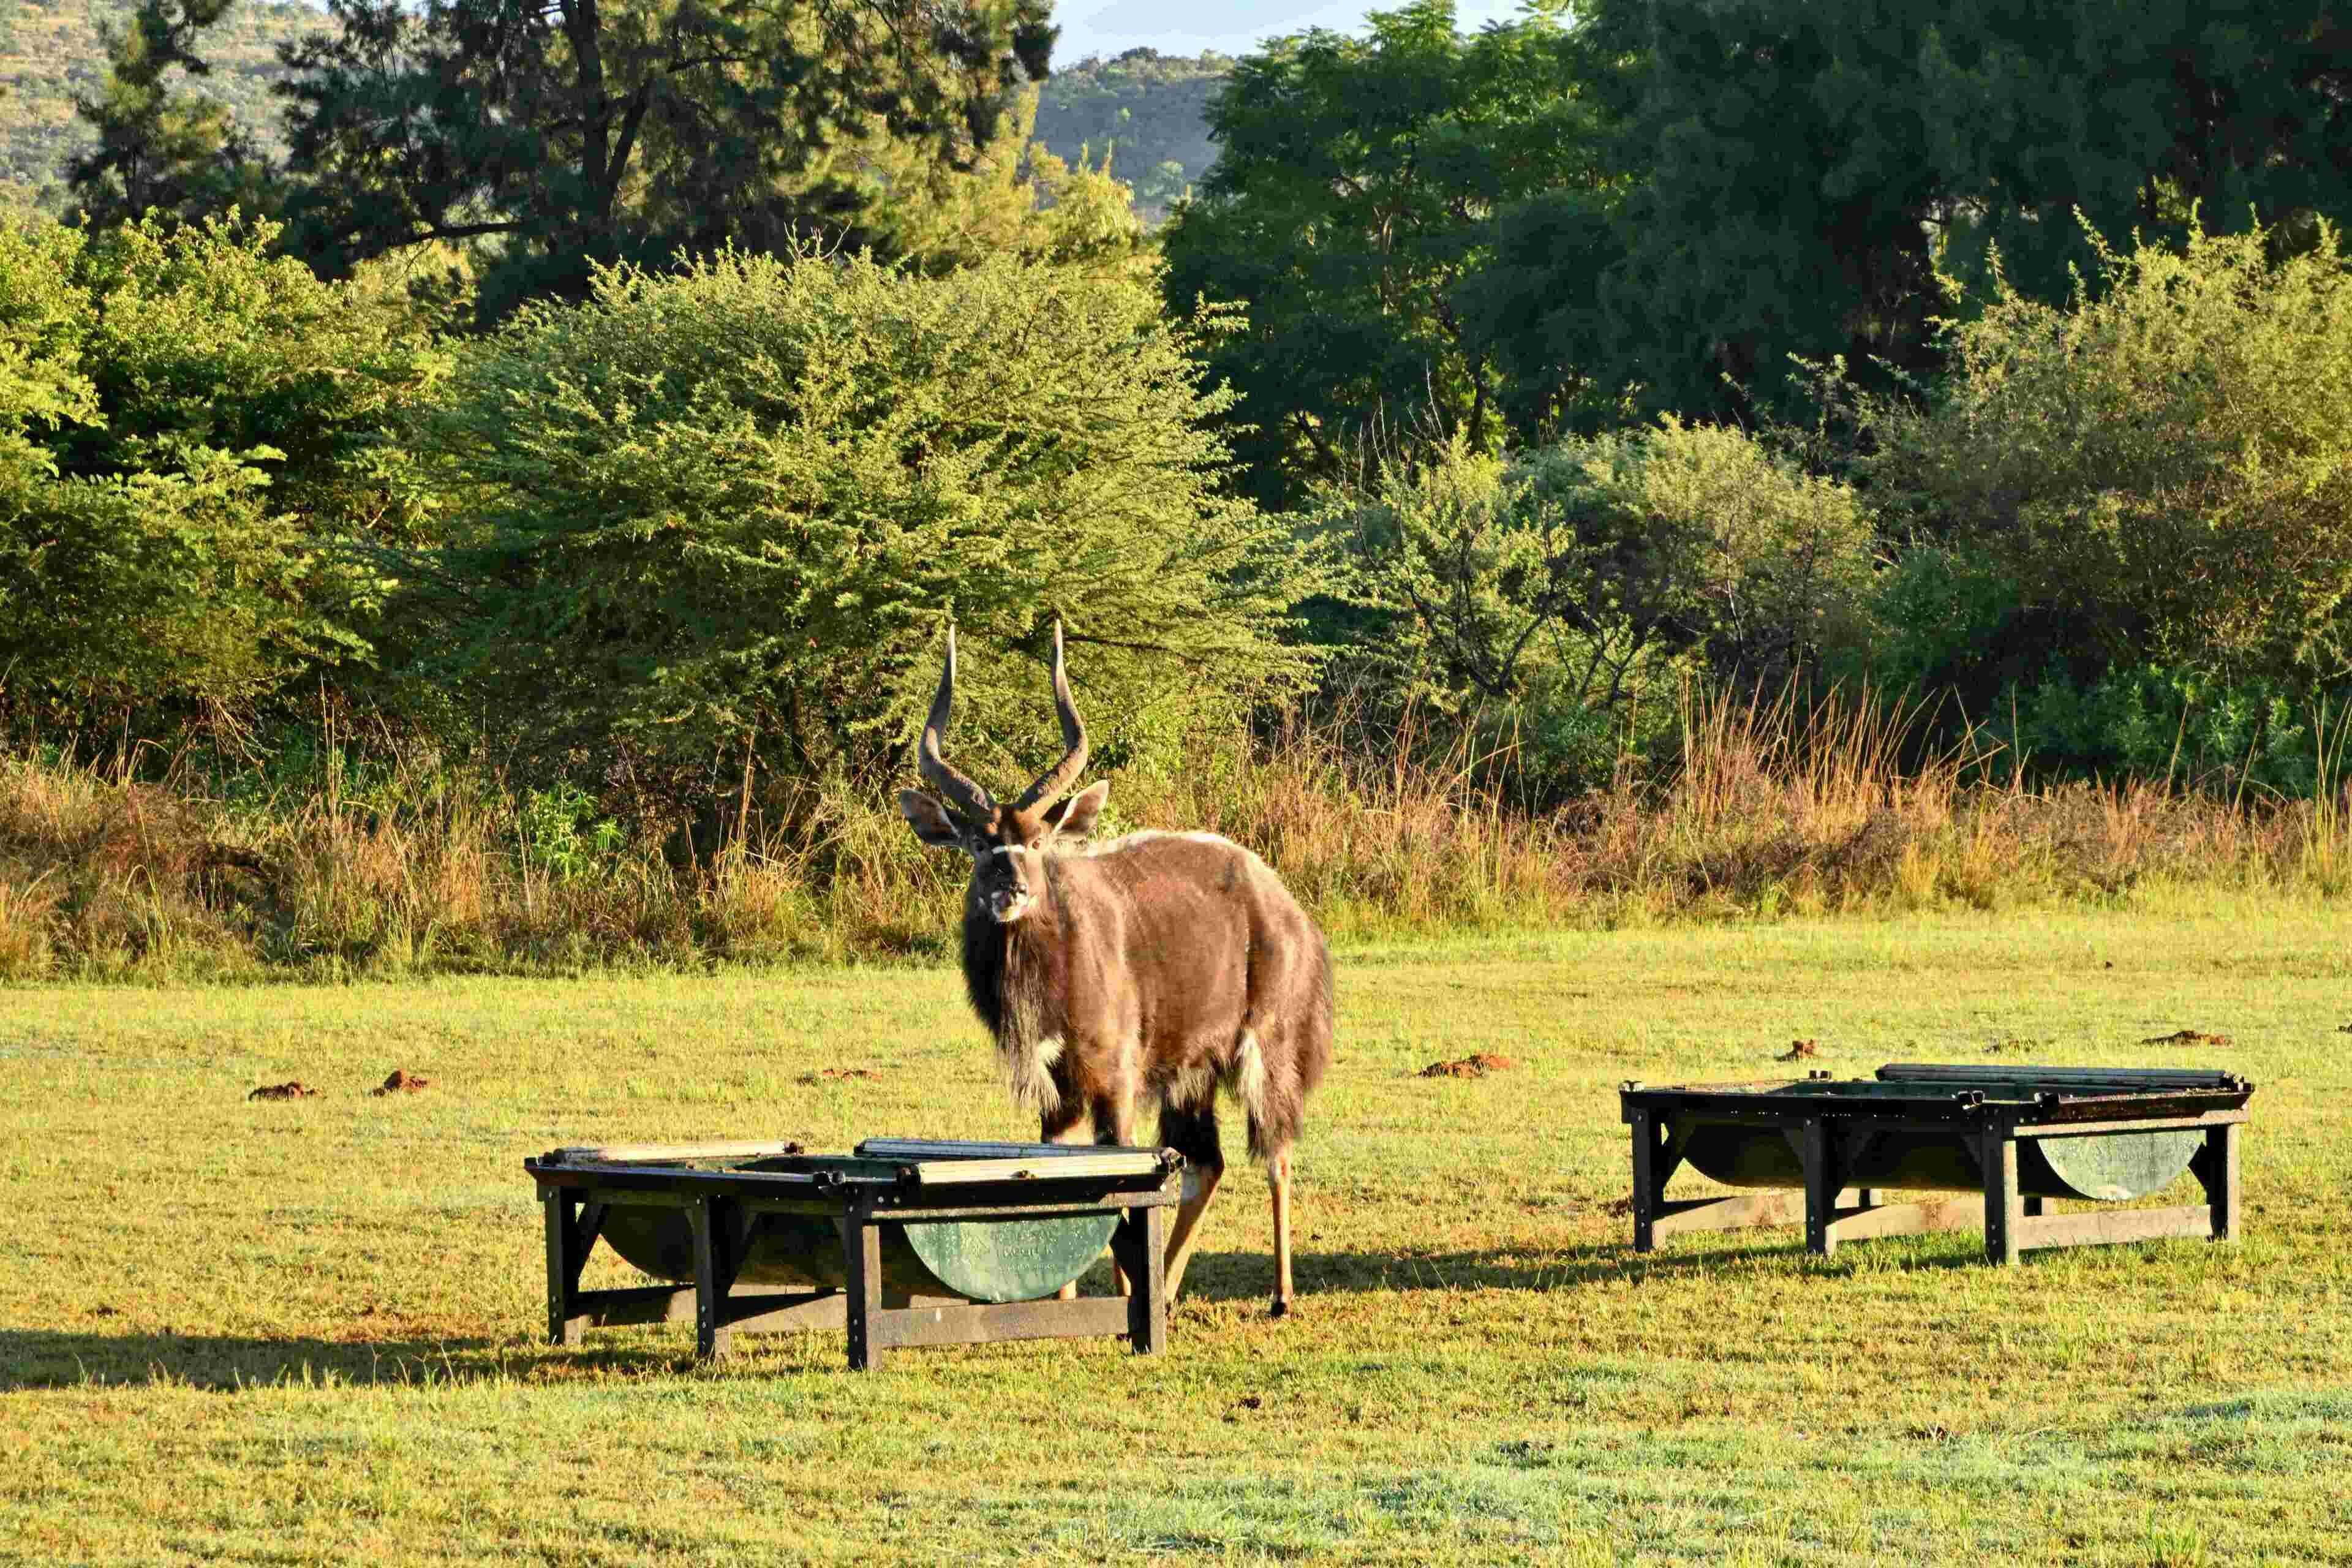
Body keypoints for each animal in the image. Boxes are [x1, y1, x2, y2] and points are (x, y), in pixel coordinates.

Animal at [896, 622, 1334, 1317]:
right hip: (1192, 1071)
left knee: (1276, 1152)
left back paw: (1281, 1295)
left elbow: (1122, 1181)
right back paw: (1170, 1290)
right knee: (1207, 1162)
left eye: (1037, 842)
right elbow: (1057, 1178)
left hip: (1269, 1049)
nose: (1013, 889)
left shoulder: (1116, 1082)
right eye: (980, 843)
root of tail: (1290, 911)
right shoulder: (1058, 1095)